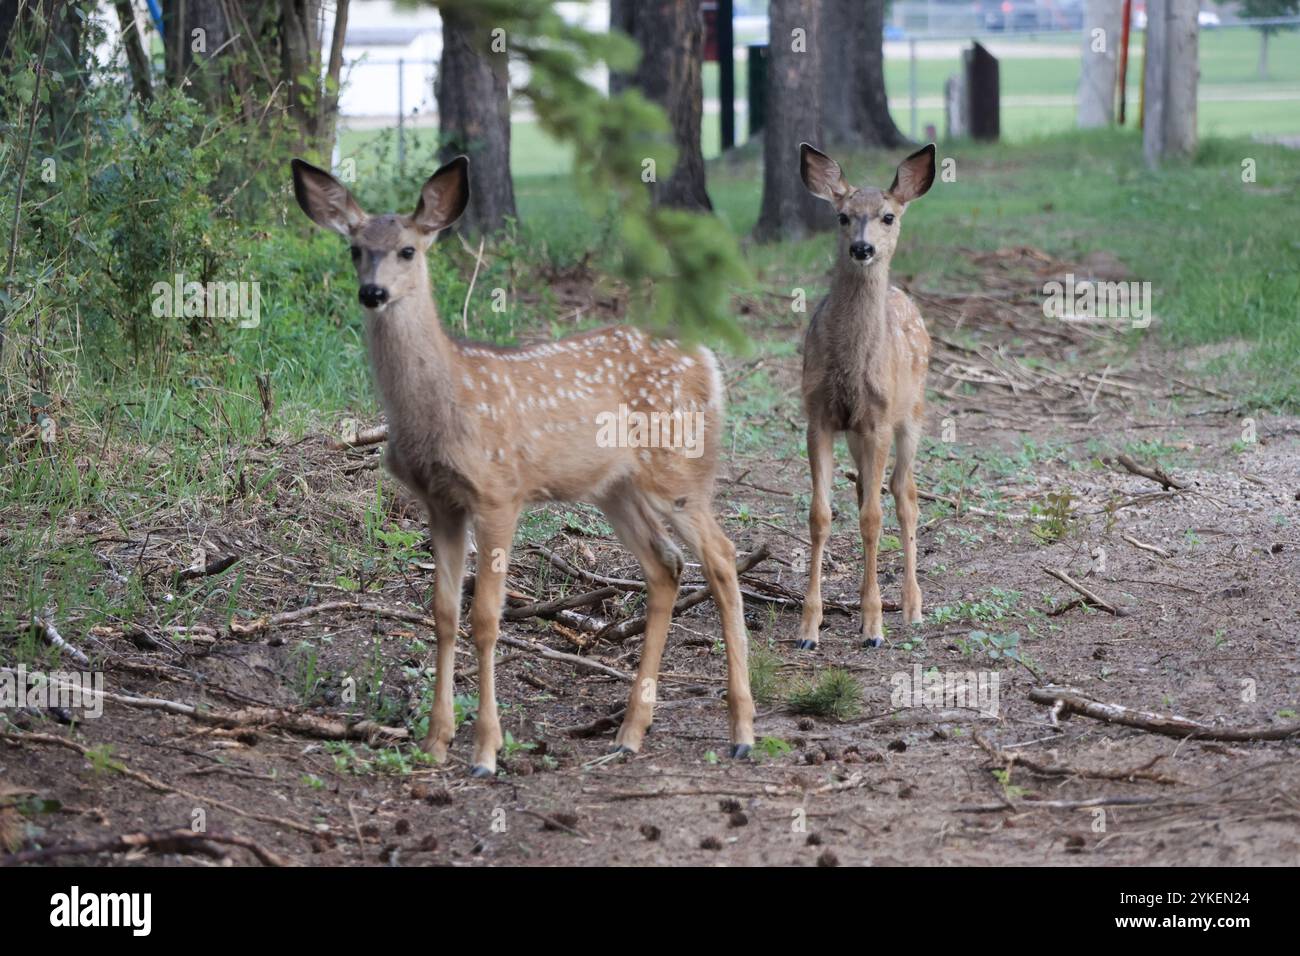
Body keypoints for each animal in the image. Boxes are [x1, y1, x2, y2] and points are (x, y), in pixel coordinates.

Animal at [290, 156, 754, 777]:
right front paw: (435, 742)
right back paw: (629, 732)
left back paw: (741, 731)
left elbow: (487, 618)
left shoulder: (498, 492)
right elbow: (442, 613)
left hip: (677, 469)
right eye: (355, 249)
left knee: (723, 558)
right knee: (666, 566)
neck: (444, 402)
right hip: (616, 488)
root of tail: (708, 361)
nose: (373, 292)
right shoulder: (439, 501)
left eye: (408, 249)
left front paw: (486, 750)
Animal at [793, 142, 936, 651]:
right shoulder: (819, 416)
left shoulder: (877, 420)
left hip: (912, 414)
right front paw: (808, 628)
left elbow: (875, 518)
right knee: (864, 491)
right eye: (842, 216)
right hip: (857, 433)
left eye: (888, 216)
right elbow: (821, 514)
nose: (862, 247)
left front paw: (874, 625)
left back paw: (912, 608)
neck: (851, 366)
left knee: (905, 495)